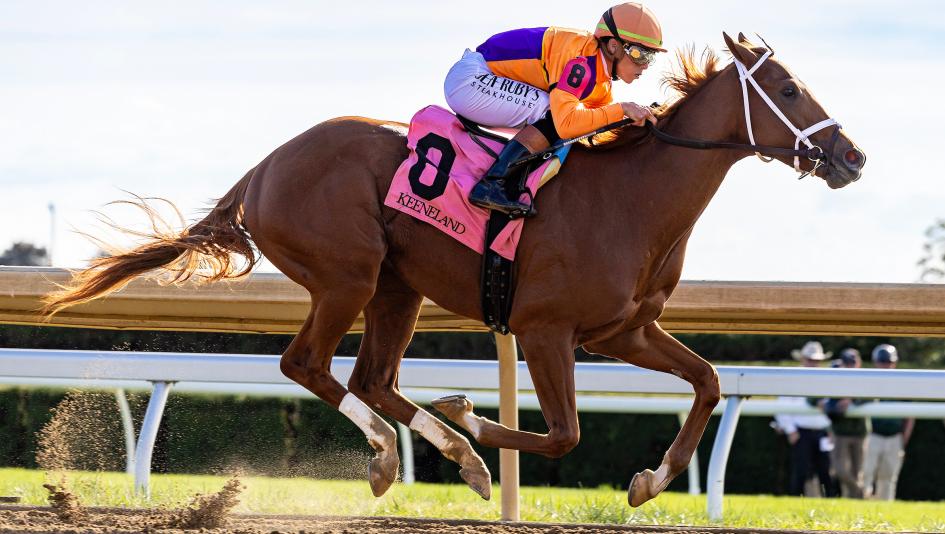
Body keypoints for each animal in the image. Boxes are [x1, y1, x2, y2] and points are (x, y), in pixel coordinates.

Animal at [44, 33, 865, 506]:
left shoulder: (622, 331)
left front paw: (648, 481)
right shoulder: (544, 330)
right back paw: (414, 448)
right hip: (348, 276)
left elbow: (709, 383)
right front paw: (473, 416)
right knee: (308, 364)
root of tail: (266, 166)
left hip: (396, 289)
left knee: (371, 378)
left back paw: (441, 456)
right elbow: (562, 435)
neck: (631, 198)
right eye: (788, 89)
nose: (853, 157)